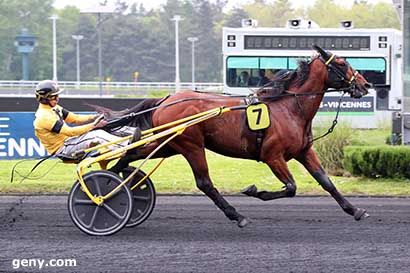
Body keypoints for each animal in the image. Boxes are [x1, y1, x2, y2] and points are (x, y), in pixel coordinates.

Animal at [96, 45, 372, 226]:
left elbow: (326, 182)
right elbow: (291, 187)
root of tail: (166, 99)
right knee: (204, 183)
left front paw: (355, 210)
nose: (365, 84)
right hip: (191, 145)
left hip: (170, 144)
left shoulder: (304, 152)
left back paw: (114, 182)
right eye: (342, 64)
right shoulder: (272, 156)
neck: (290, 108)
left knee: (133, 152)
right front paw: (254, 191)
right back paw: (237, 216)